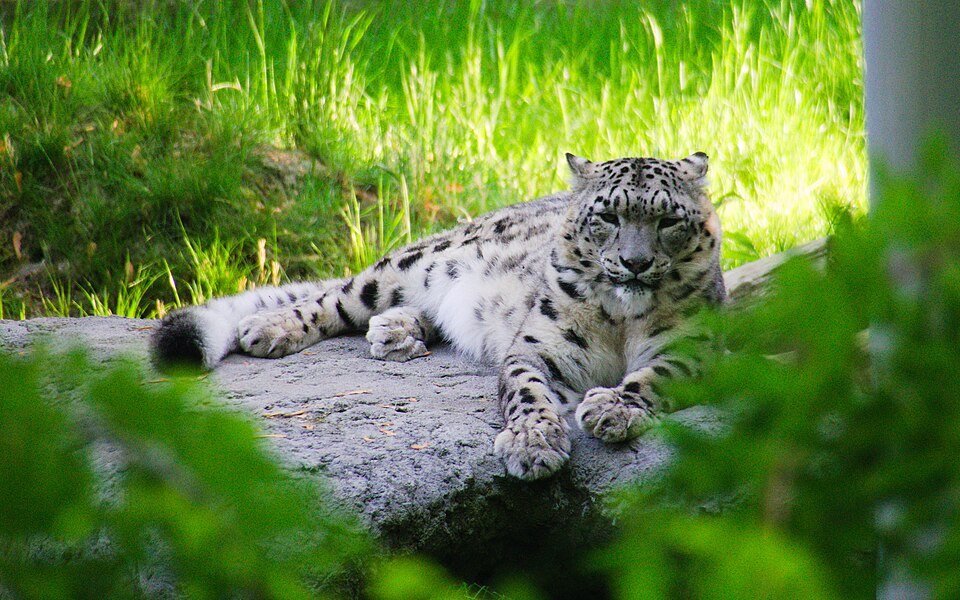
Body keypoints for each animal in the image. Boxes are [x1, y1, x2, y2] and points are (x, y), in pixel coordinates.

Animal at [152, 152, 725, 480]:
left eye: (668, 220)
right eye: (608, 215)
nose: (635, 262)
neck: (621, 322)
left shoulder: (695, 348)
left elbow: (656, 376)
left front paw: (613, 408)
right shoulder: (541, 347)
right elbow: (527, 391)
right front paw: (533, 443)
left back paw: (397, 332)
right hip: (402, 267)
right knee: (333, 297)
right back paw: (270, 328)